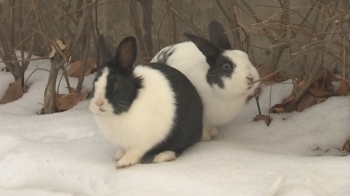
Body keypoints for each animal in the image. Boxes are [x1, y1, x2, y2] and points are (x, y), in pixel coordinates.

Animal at [89, 34, 202, 168]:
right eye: (94, 83)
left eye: (117, 85)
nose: (98, 103)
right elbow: (123, 149)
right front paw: (118, 156)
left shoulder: (141, 142)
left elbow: (134, 152)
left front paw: (124, 162)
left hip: (182, 133)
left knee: (179, 147)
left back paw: (162, 156)